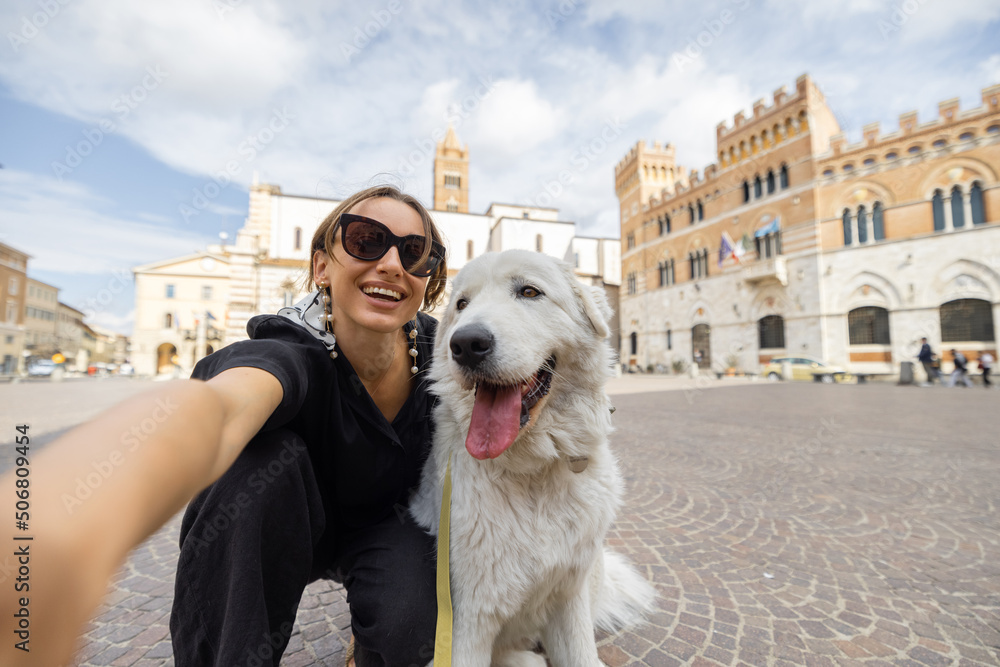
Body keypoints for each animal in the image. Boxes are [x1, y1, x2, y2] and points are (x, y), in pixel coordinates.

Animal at [412, 250, 656, 667]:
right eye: (462, 304)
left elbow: (582, 655)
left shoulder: (569, 598)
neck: (533, 473)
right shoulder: (469, 617)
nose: (466, 343)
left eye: (529, 292)